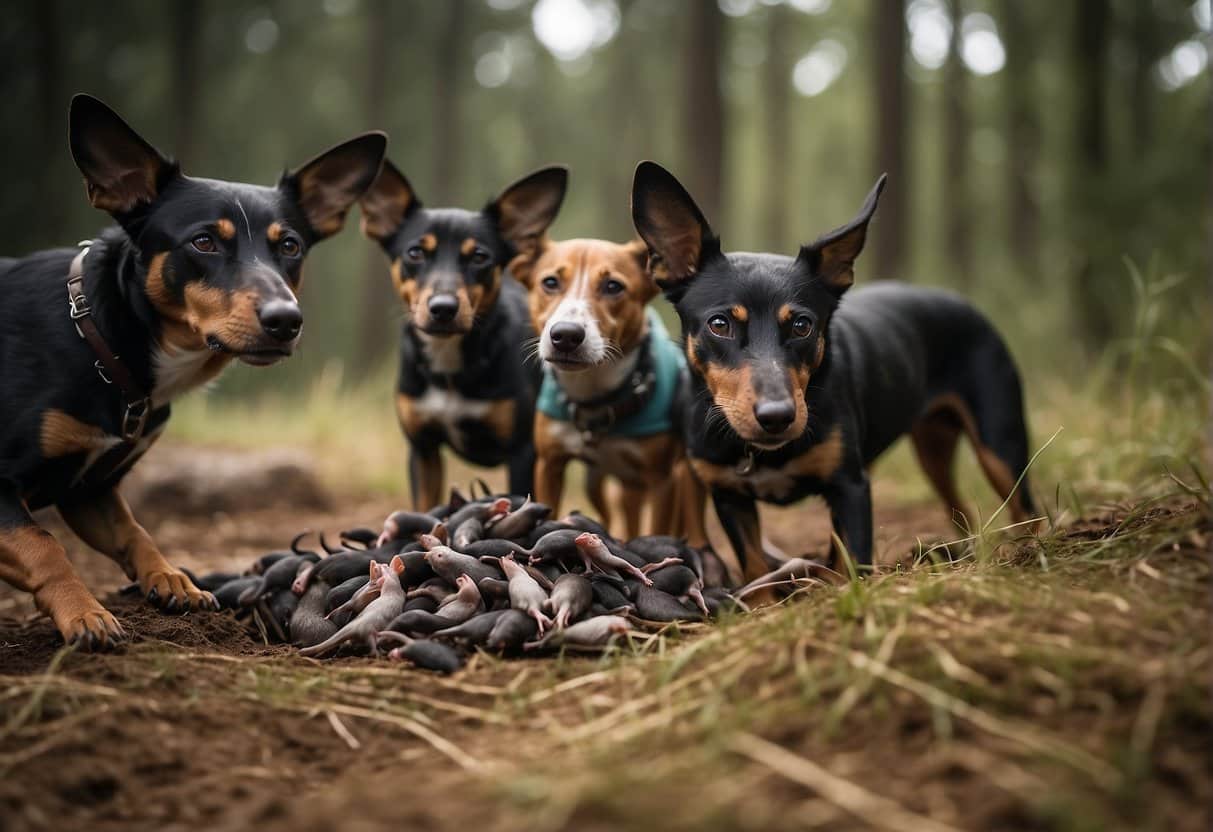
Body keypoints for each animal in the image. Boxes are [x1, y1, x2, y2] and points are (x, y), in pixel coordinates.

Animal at [0, 94, 385, 650]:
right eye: (204, 242)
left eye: (289, 246)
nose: (286, 321)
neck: (101, 337)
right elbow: (41, 542)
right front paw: (84, 613)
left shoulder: (90, 490)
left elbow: (134, 532)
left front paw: (171, 579)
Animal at [359, 157, 567, 509]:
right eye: (415, 253)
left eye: (480, 256)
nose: (443, 308)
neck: (450, 359)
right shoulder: (423, 451)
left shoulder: (523, 454)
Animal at [630, 161, 1038, 579]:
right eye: (719, 324)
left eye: (802, 325)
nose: (776, 417)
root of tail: (968, 305)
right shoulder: (729, 497)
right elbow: (757, 571)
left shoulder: (851, 487)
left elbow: (853, 565)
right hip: (934, 447)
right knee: (958, 507)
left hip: (1000, 443)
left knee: (1026, 508)